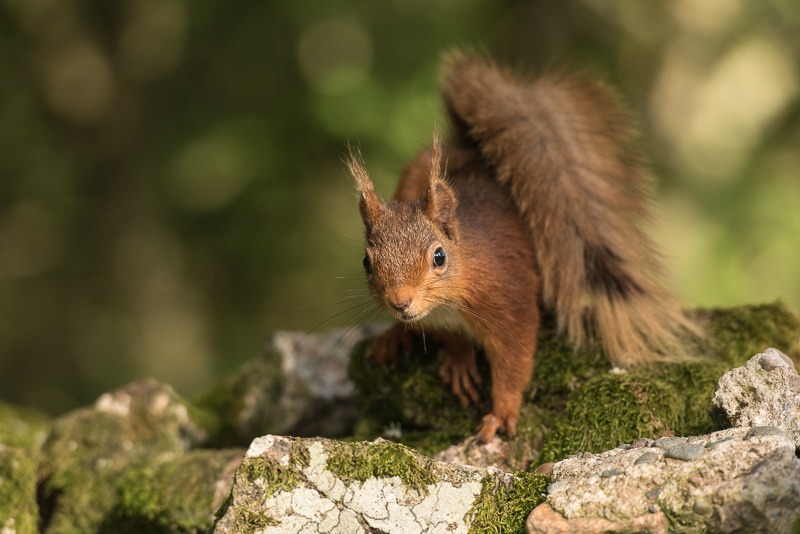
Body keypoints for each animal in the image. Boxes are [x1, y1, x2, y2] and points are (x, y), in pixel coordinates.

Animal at [348, 51, 697, 443]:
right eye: (366, 262)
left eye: (439, 257)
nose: (400, 302)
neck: (450, 302)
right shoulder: (436, 320)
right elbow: (453, 340)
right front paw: (459, 360)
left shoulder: (510, 299)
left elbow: (514, 362)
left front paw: (500, 414)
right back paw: (393, 338)